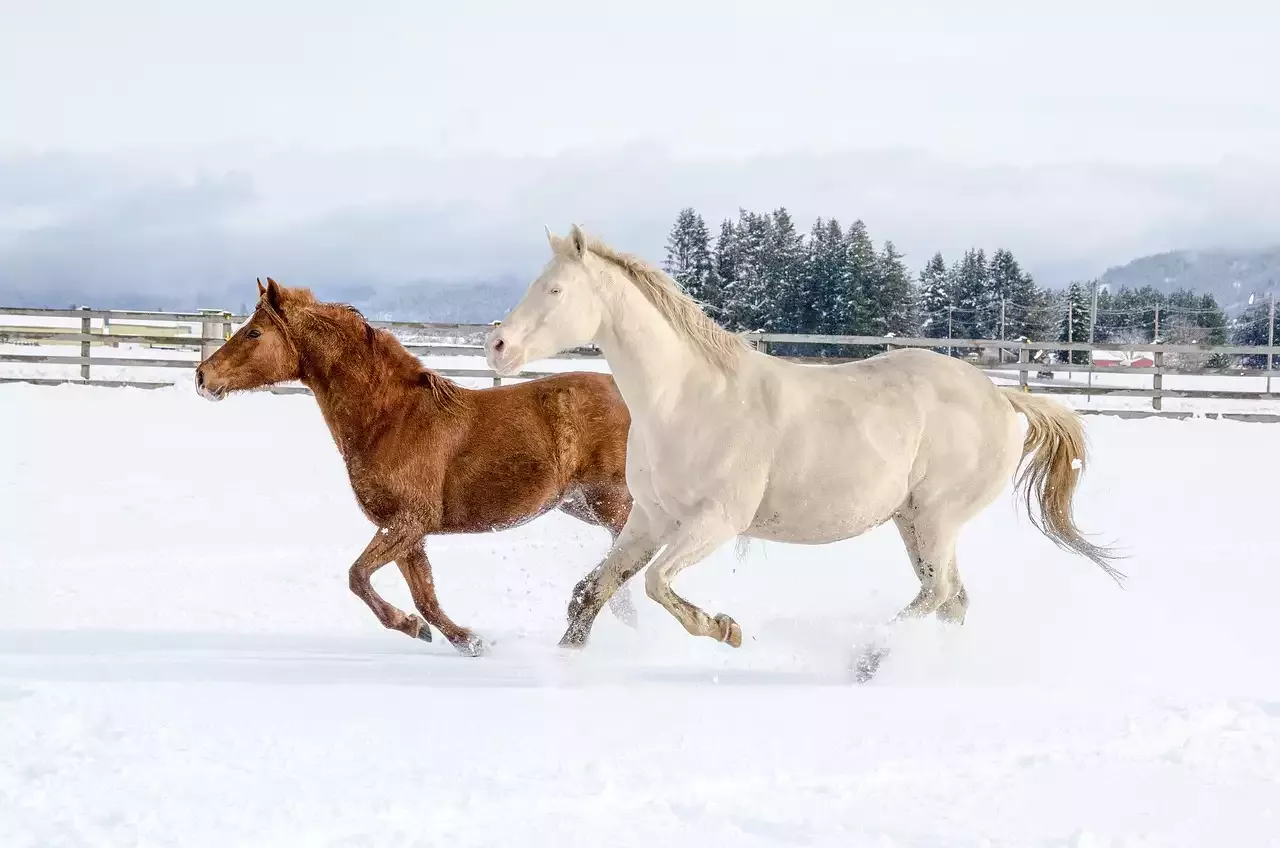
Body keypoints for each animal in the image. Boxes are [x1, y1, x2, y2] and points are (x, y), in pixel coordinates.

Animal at [195, 279, 634, 655]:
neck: (391, 417)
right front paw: (464, 640)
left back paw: (579, 625)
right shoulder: (408, 532)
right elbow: (425, 599)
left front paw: (415, 626)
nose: (202, 377)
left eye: (254, 333)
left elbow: (358, 576)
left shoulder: (408, 521)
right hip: (580, 504)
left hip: (610, 500)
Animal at [483, 225, 1116, 686]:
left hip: (938, 518)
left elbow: (657, 584)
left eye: (555, 290)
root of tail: (1002, 396)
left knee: (937, 594)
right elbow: (594, 590)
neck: (688, 398)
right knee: (952, 600)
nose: (496, 346)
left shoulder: (715, 521)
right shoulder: (651, 517)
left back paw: (868, 660)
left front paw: (726, 629)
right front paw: (565, 659)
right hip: (913, 522)